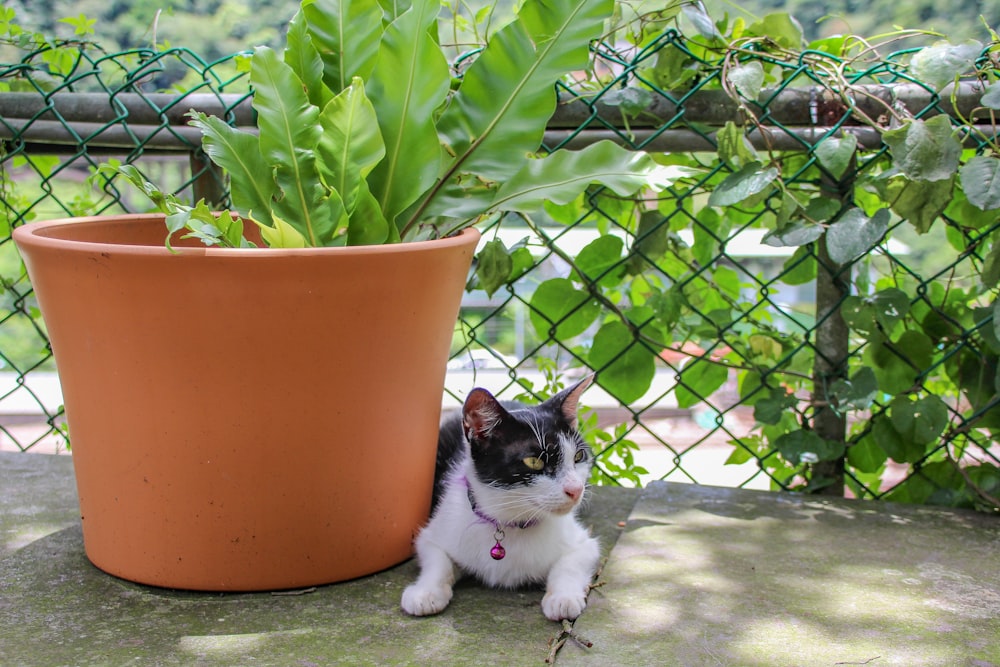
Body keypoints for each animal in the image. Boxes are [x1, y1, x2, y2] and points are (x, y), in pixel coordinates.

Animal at [400, 378, 600, 624]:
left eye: (578, 457)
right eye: (534, 461)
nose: (576, 489)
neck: (510, 521)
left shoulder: (584, 543)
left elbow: (571, 562)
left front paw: (563, 598)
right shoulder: (436, 531)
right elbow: (437, 559)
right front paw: (425, 592)